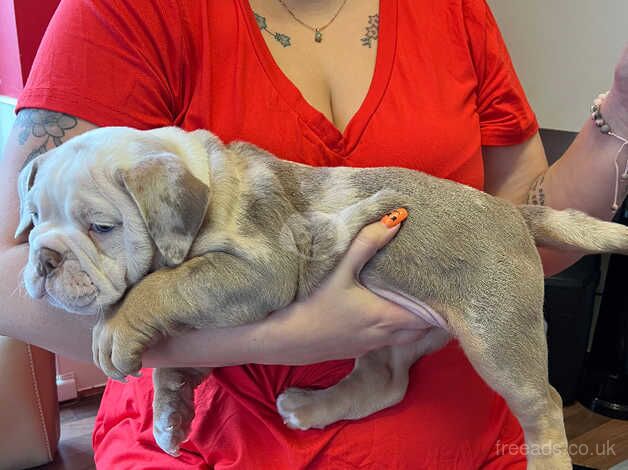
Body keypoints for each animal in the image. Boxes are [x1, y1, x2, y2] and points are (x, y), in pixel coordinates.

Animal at [15, 125, 628, 466]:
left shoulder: (257, 269)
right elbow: (178, 352)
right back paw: (310, 408)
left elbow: (166, 285)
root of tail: (515, 213)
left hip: (497, 336)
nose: (44, 259)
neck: (203, 180)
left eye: (101, 227)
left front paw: (116, 328)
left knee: (541, 404)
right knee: (386, 382)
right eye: (34, 218)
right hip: (406, 330)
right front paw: (171, 411)